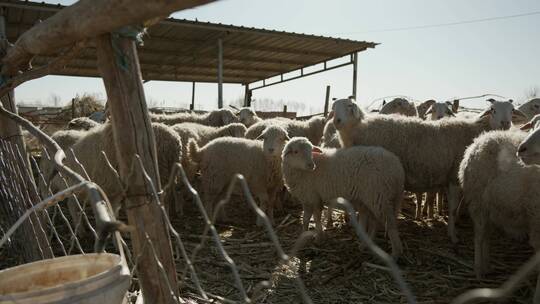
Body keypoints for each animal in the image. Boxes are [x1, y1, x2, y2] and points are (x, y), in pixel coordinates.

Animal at [332, 97, 524, 242]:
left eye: (512, 110)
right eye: (492, 109)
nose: (505, 123)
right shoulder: (454, 176)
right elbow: (452, 209)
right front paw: (452, 236)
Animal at [458, 127, 540, 302]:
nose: (521, 149)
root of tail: (479, 140)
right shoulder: (537, 222)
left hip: (492, 206)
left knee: (486, 235)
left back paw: (487, 266)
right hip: (478, 200)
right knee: (479, 236)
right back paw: (479, 270)